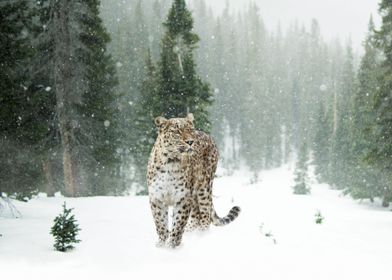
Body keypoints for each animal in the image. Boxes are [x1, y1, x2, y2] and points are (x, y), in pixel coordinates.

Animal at [146, 112, 240, 248]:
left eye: (190, 129)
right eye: (177, 131)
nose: (190, 141)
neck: (171, 162)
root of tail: (208, 136)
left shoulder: (183, 197)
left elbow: (178, 223)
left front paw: (172, 245)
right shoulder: (157, 198)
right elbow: (160, 223)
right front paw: (162, 244)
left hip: (204, 188)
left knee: (205, 215)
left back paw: (202, 236)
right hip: (195, 194)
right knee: (196, 216)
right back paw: (190, 232)